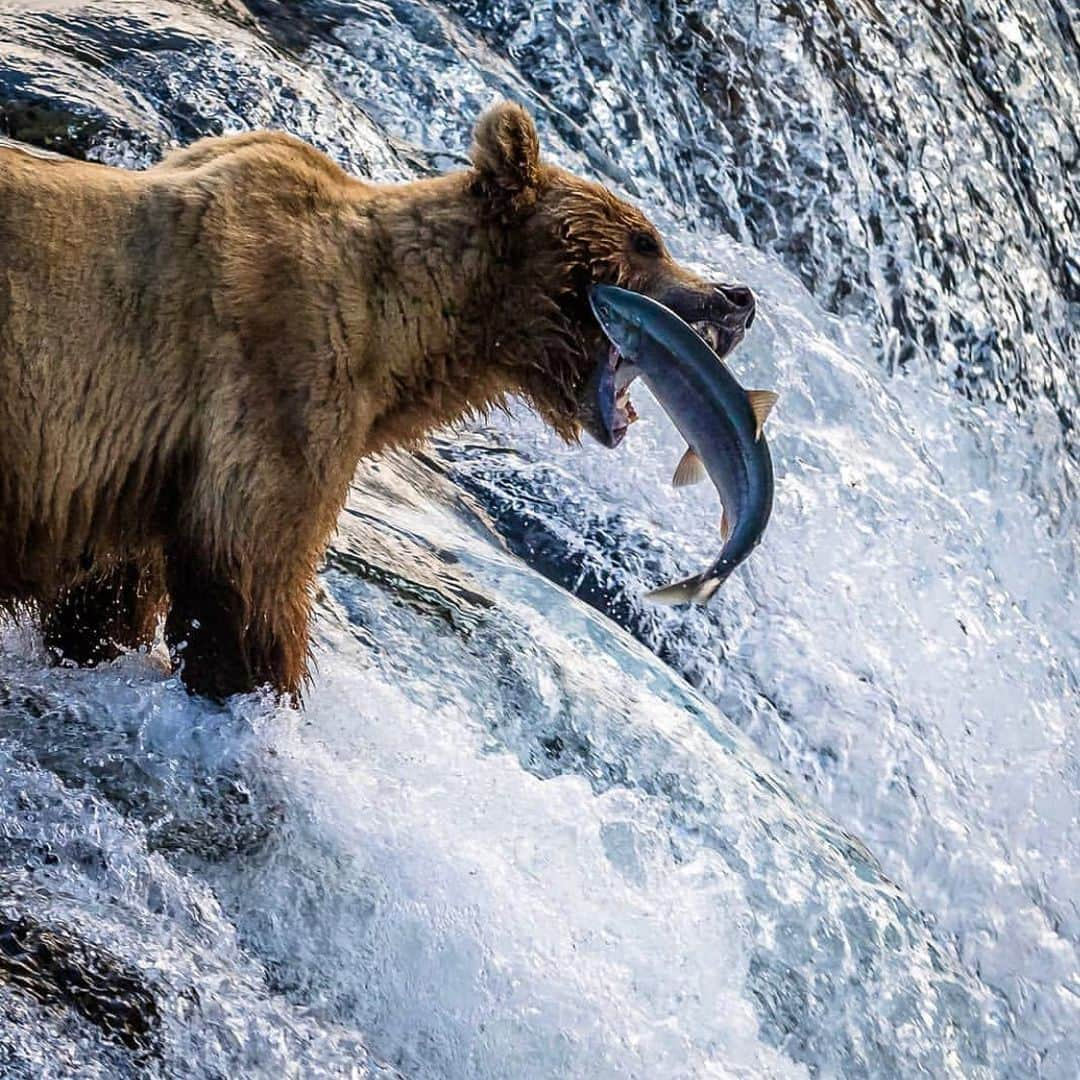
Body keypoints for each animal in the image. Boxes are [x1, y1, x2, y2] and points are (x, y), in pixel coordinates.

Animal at [0, 101, 756, 699]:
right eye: (645, 239)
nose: (737, 297)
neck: (398, 336)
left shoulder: (139, 470)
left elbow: (110, 595)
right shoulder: (278, 378)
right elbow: (251, 580)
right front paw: (257, 691)